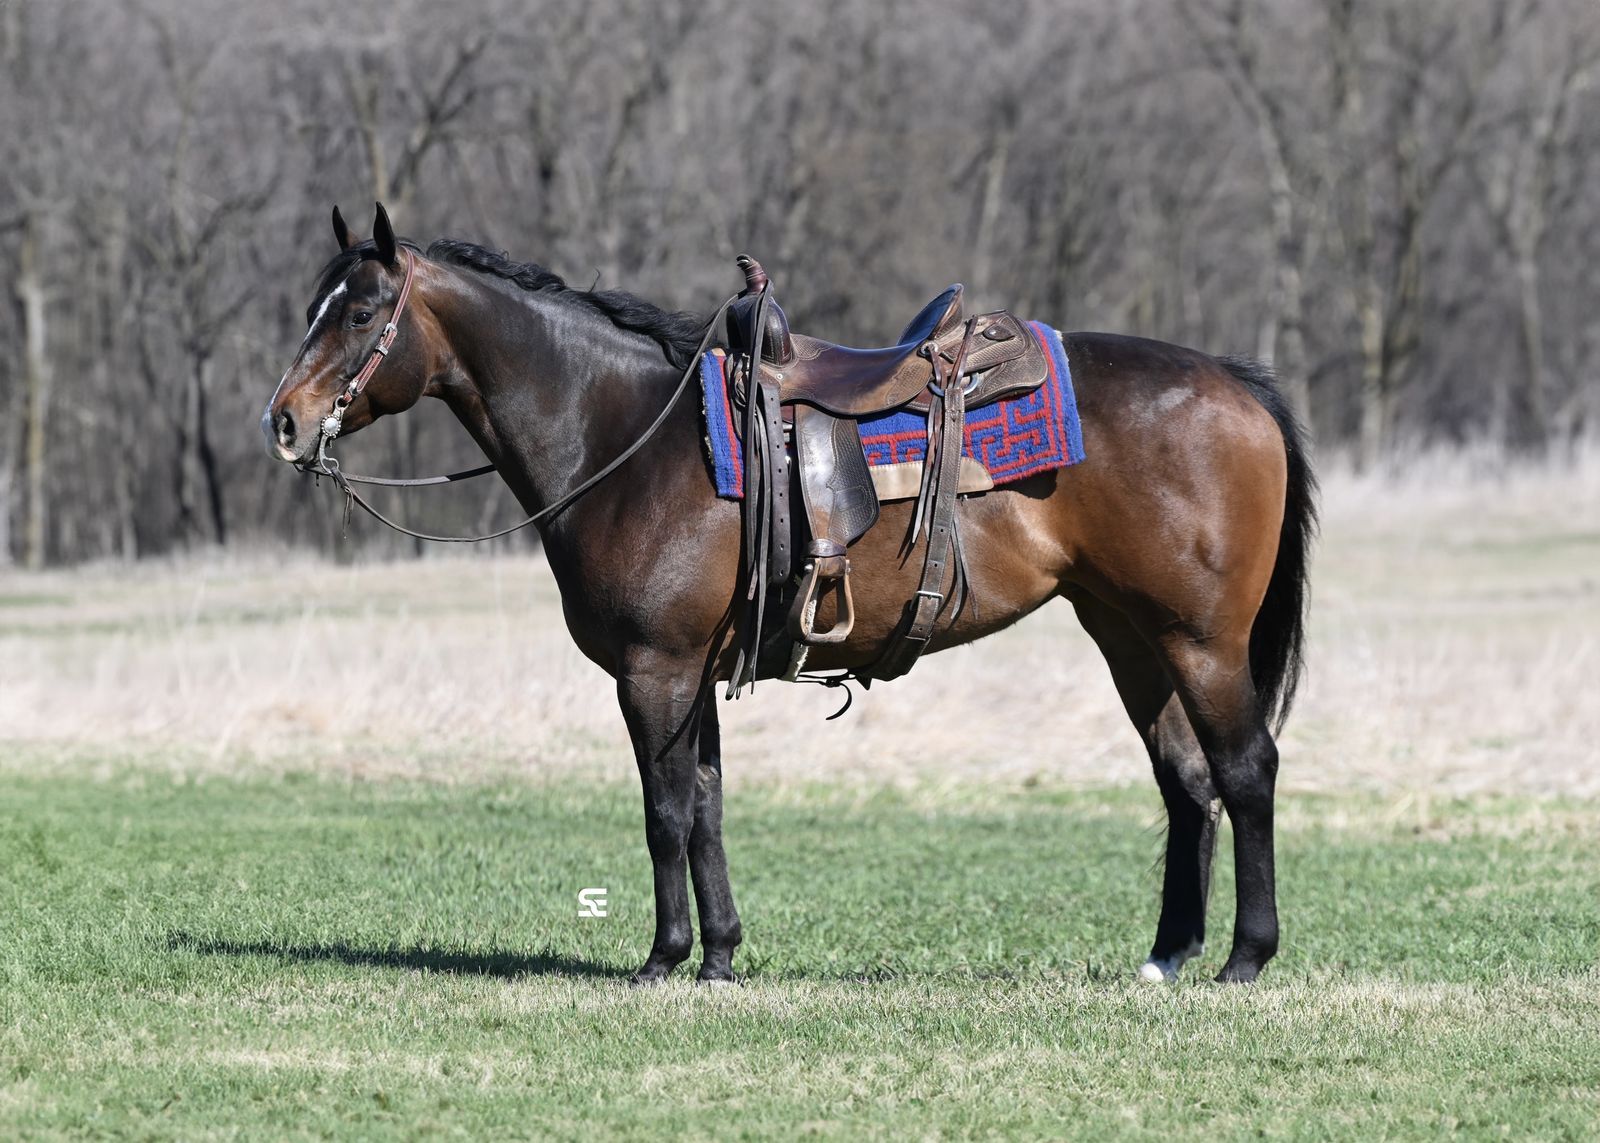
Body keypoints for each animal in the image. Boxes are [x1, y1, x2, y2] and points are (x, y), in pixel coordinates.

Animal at [262, 203, 1316, 985]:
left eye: (360, 314)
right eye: (316, 303)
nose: (284, 422)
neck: (627, 437)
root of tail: (1240, 385)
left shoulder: (654, 670)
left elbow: (666, 811)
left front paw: (664, 958)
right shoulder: (695, 675)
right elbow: (708, 804)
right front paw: (721, 955)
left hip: (1201, 639)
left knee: (1244, 769)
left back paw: (1245, 957)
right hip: (1131, 634)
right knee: (1185, 778)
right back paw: (1168, 955)